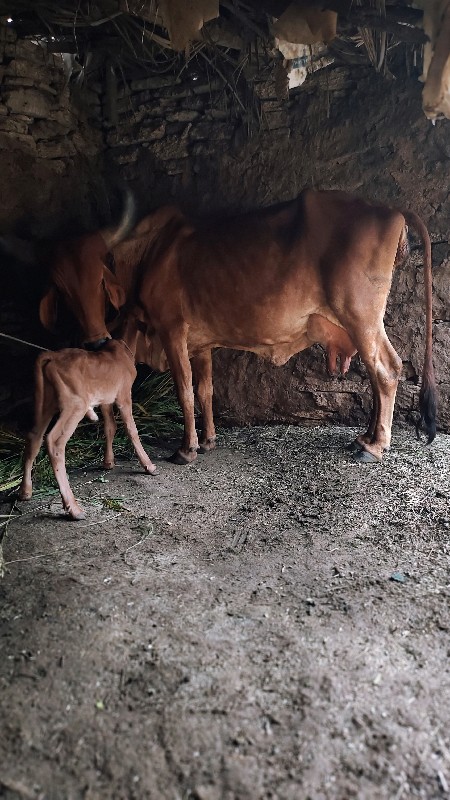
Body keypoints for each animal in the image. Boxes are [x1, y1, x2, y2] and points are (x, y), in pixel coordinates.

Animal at [19, 334, 156, 520]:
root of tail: (52, 355)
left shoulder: (106, 399)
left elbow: (110, 426)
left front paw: (108, 462)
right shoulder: (123, 395)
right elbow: (131, 429)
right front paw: (148, 465)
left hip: (46, 404)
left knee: (34, 437)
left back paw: (25, 491)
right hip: (75, 404)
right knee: (54, 441)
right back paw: (74, 508)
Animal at [38, 191, 436, 466]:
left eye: (98, 278)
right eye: (62, 287)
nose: (94, 340)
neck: (151, 252)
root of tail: (391, 210)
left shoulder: (172, 329)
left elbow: (184, 391)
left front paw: (187, 448)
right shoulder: (200, 344)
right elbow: (205, 391)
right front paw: (209, 440)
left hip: (361, 315)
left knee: (387, 370)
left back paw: (375, 446)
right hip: (359, 324)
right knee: (376, 374)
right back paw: (365, 437)